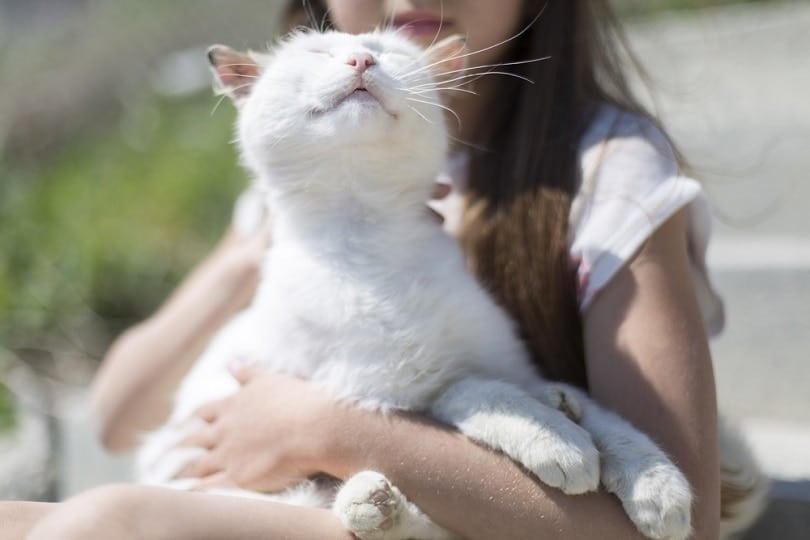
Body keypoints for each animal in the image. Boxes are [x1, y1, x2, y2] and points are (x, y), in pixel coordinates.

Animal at [136, 29, 692, 540]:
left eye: (390, 52)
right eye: (317, 53)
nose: (362, 59)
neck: (373, 237)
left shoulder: (508, 361)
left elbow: (610, 419)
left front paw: (656, 485)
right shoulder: (393, 390)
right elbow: (476, 391)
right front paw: (559, 442)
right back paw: (372, 504)